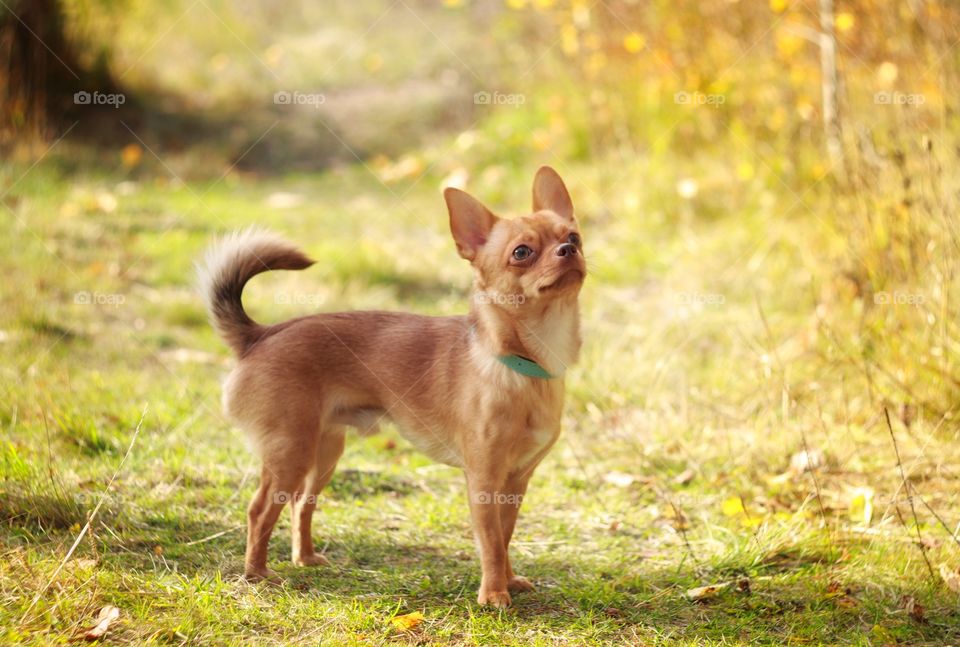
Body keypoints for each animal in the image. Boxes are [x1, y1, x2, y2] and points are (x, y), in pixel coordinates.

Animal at [197, 167, 584, 608]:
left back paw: (305, 558)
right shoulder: (484, 482)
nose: (569, 251)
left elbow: (505, 537)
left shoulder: (516, 482)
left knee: (300, 504)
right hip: (289, 453)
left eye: (574, 238)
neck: (524, 364)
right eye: (521, 252)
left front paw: (509, 579)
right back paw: (257, 573)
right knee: (259, 509)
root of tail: (259, 335)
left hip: (323, 453)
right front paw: (493, 594)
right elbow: (490, 541)